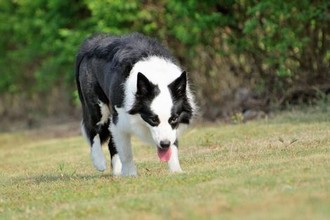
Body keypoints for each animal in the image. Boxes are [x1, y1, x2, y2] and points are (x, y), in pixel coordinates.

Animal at [75, 32, 196, 176]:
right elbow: (126, 152)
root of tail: (92, 43)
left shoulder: (171, 130)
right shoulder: (120, 120)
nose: (164, 144)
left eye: (174, 119)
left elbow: (173, 146)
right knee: (92, 129)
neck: (156, 75)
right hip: (98, 107)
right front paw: (130, 174)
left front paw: (176, 171)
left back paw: (117, 173)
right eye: (153, 119)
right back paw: (99, 161)